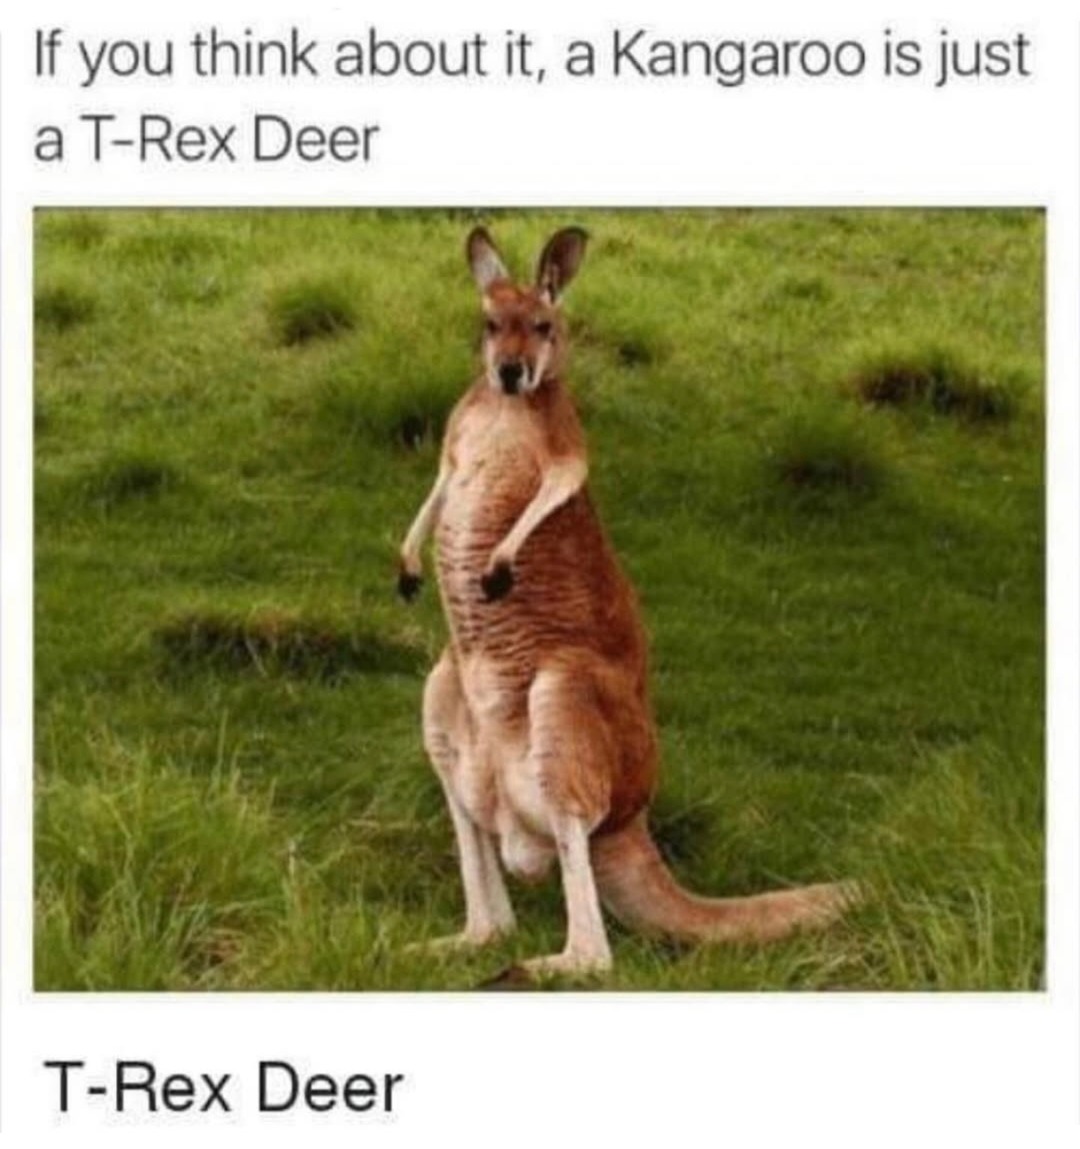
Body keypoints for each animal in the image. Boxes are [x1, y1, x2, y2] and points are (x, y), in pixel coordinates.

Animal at [397, 225, 858, 978]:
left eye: (545, 326)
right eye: (490, 325)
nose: (512, 372)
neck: (504, 410)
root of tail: (630, 820)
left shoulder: (565, 448)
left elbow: (554, 488)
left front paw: (497, 567)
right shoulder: (454, 446)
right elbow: (435, 494)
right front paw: (408, 568)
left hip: (564, 697)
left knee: (594, 946)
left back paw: (533, 969)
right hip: (444, 696)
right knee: (492, 913)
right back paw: (444, 947)